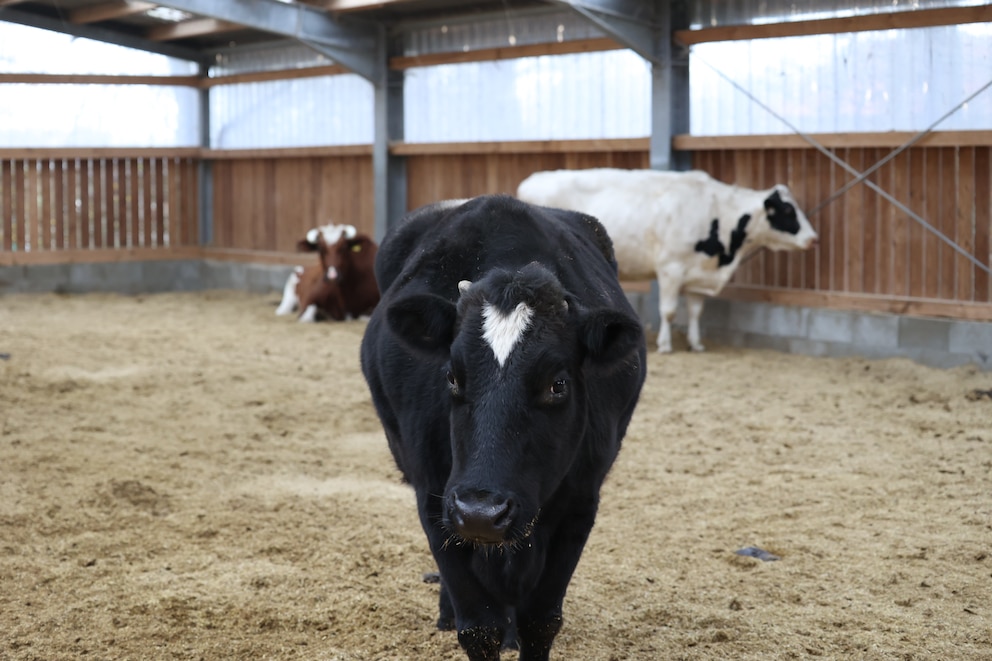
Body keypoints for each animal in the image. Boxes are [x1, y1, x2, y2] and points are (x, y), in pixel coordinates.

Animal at [360, 196, 648, 660]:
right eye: (452, 377)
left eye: (557, 384)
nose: (481, 511)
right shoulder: (434, 496)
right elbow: (478, 626)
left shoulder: (579, 504)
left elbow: (540, 621)